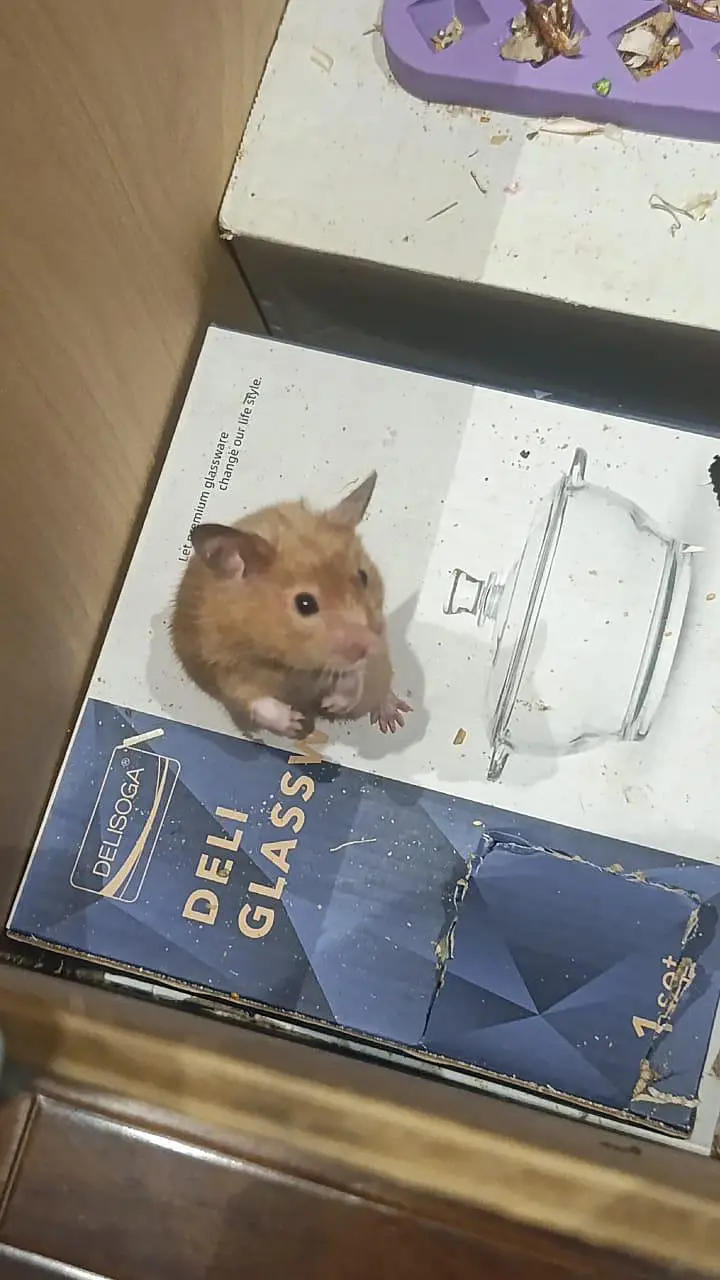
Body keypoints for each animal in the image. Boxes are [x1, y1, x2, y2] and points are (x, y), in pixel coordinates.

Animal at [171, 471, 411, 740]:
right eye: (305, 604)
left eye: (363, 577)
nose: (372, 645)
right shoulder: (224, 667)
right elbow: (255, 699)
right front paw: (296, 723)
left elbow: (354, 675)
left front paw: (332, 704)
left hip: (379, 677)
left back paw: (392, 718)